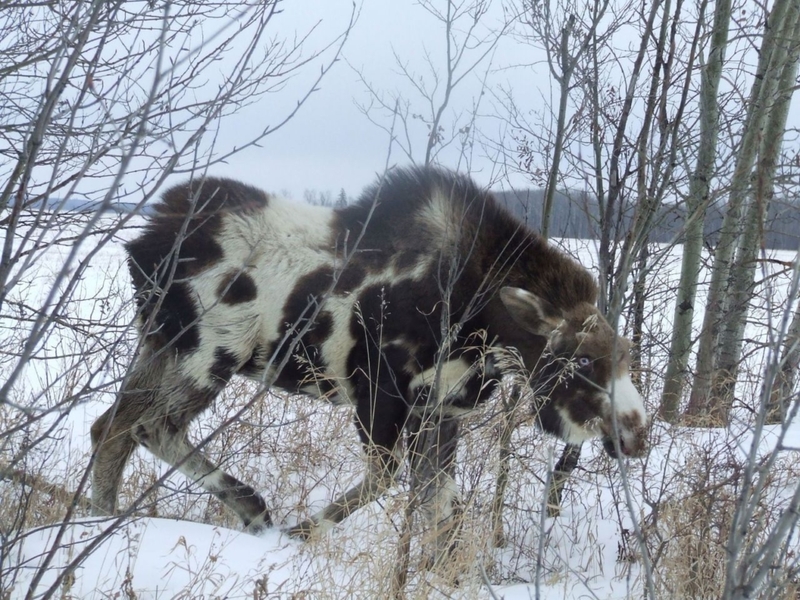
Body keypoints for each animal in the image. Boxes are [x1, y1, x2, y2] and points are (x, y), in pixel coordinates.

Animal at [90, 165, 648, 556]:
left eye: (625, 354)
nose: (637, 431)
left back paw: (98, 520)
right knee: (148, 425)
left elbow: (442, 513)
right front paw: (297, 534)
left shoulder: (440, 410)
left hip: (162, 346)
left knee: (111, 426)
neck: (485, 328)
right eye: (581, 360)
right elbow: (387, 480)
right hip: (210, 352)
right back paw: (247, 508)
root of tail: (141, 242)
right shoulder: (380, 393)